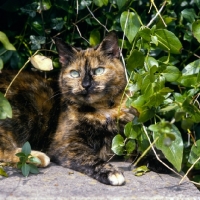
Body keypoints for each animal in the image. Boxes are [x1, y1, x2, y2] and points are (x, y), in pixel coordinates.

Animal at [0, 31, 138, 186]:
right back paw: (37, 157)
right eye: (75, 73)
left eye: (99, 70)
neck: (102, 109)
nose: (86, 85)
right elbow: (89, 157)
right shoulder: (66, 144)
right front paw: (110, 171)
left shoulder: (129, 137)